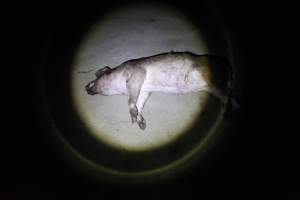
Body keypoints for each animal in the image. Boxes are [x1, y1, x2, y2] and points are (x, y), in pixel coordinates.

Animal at [84, 51, 234, 130]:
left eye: (94, 80)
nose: (85, 88)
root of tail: (227, 67)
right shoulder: (144, 90)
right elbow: (139, 103)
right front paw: (141, 124)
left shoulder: (137, 74)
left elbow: (131, 101)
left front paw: (134, 118)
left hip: (214, 81)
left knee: (227, 96)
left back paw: (226, 114)